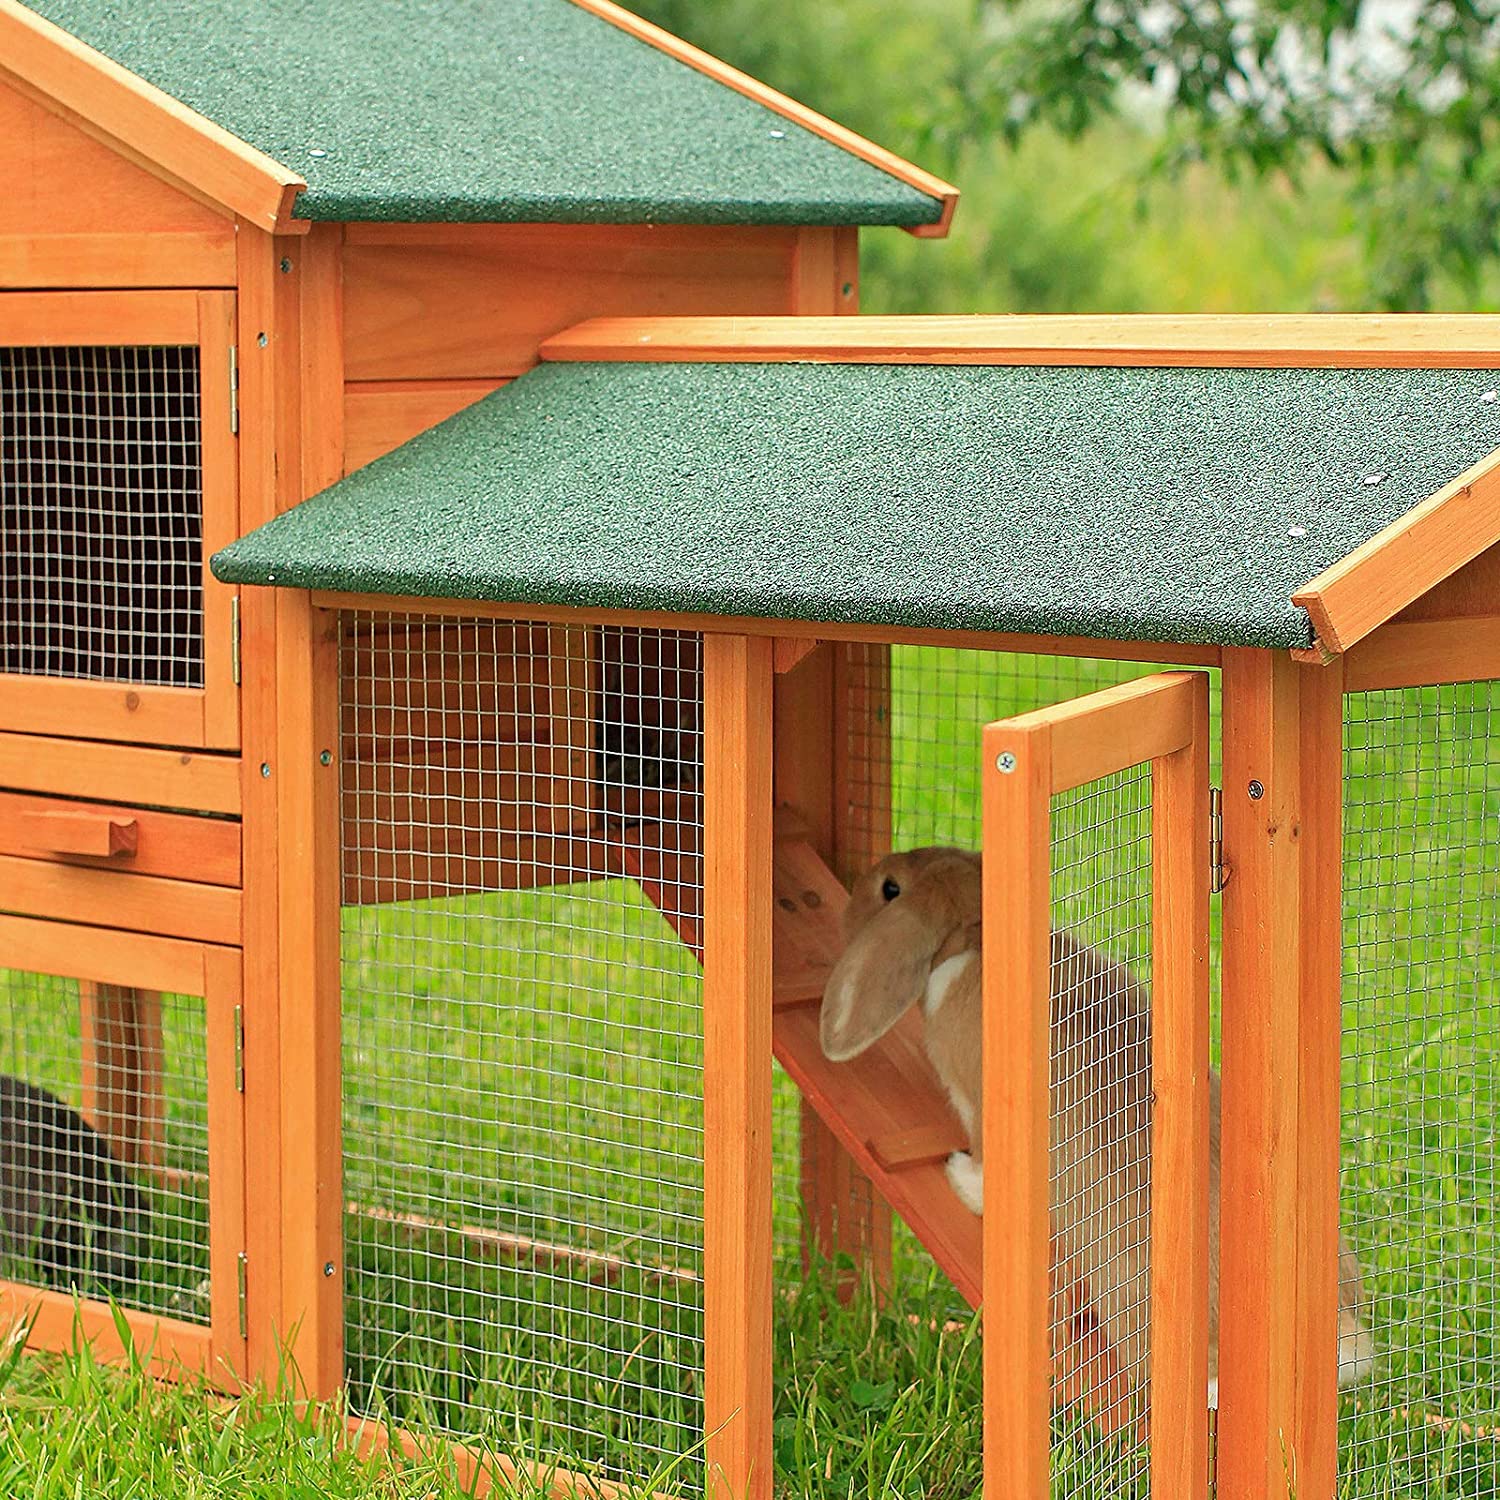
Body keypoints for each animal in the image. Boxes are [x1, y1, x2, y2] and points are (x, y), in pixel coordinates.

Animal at [816, 846, 1374, 1404]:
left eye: (890, 889)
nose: (862, 882)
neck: (970, 933)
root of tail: (1344, 1346)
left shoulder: (976, 1104)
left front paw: (959, 1176)